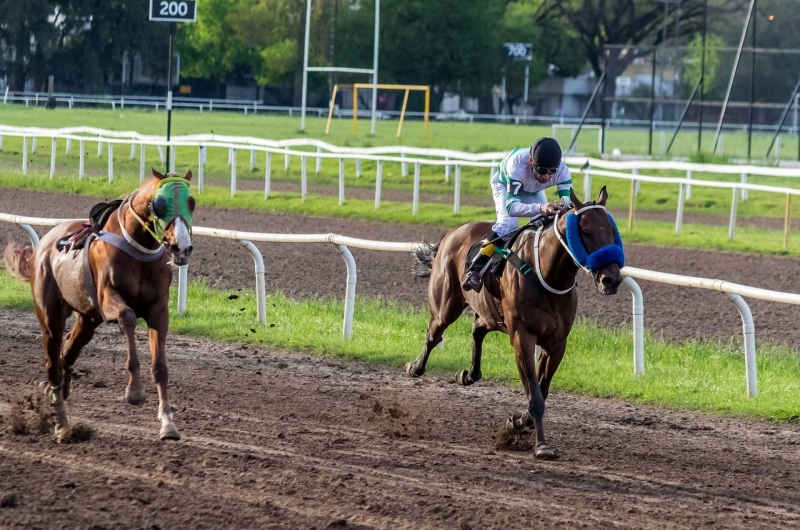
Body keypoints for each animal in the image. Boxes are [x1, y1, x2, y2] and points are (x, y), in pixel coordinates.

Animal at [3, 168, 195, 438]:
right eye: (159, 203)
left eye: (192, 202)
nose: (182, 247)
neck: (139, 248)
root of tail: (43, 243)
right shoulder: (108, 301)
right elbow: (127, 317)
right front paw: (134, 391)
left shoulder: (158, 310)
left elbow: (160, 366)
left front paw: (168, 422)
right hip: (51, 315)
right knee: (53, 361)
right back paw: (62, 424)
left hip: (88, 318)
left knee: (68, 350)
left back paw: (64, 388)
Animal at [406, 188, 624, 456]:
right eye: (586, 232)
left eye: (612, 231)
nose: (611, 279)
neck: (546, 275)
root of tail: (454, 231)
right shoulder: (523, 337)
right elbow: (536, 397)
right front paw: (541, 445)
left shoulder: (556, 344)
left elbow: (542, 390)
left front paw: (517, 423)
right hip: (445, 305)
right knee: (434, 334)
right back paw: (415, 367)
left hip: (491, 313)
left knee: (477, 328)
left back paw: (468, 374)